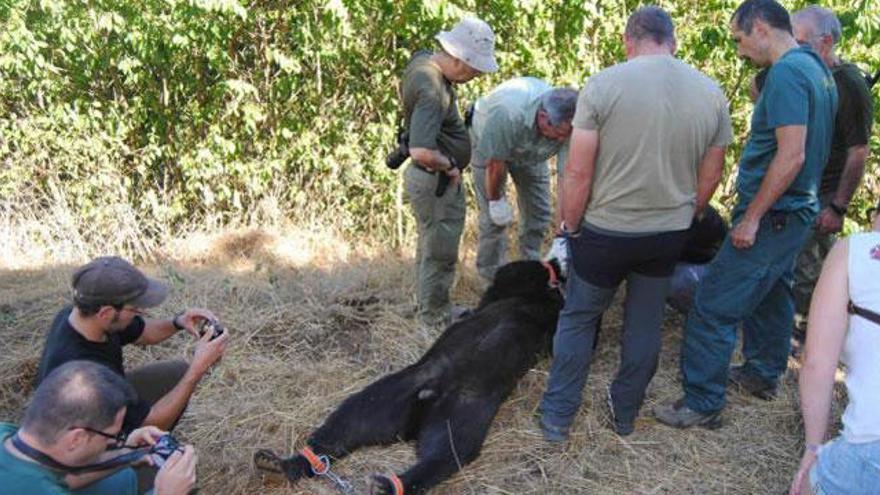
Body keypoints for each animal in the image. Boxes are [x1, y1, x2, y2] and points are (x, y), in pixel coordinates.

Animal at [253, 262, 564, 494]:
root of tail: (428, 398)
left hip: (460, 413)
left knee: (445, 453)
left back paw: (389, 485)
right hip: (393, 396)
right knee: (348, 422)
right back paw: (282, 465)